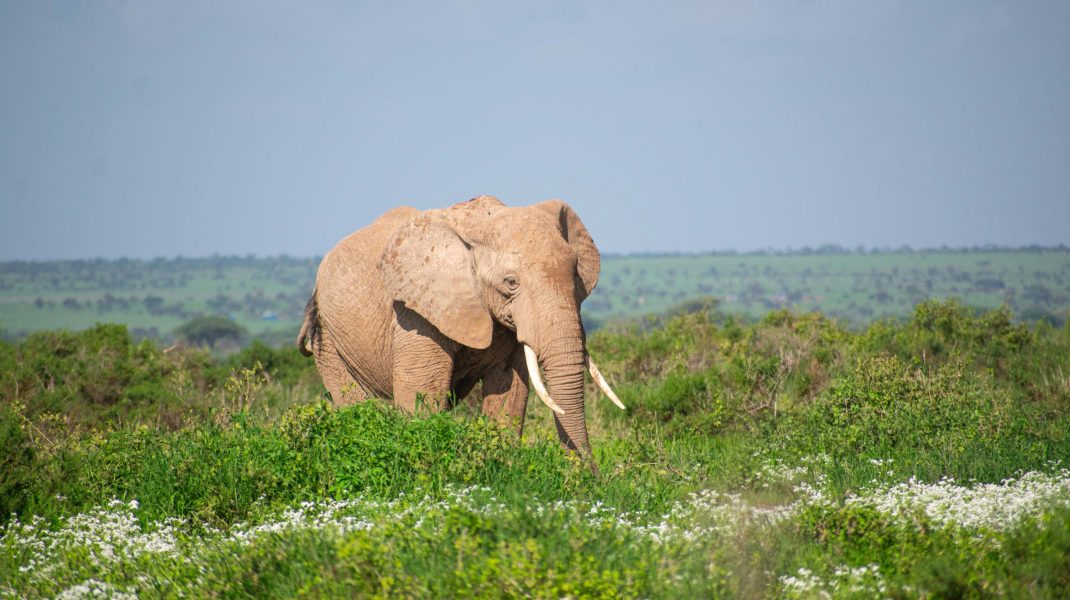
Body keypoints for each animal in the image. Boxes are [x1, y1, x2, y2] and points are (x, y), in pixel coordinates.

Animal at [297, 195, 624, 468]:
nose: (590, 479)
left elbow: (510, 393)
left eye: (575, 276)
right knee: (354, 403)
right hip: (328, 337)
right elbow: (422, 391)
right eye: (510, 283)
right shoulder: (415, 311)